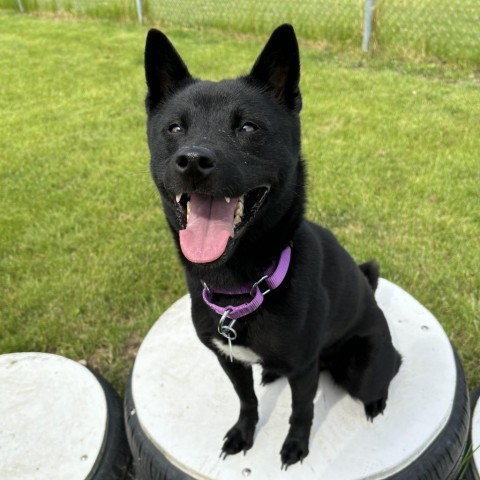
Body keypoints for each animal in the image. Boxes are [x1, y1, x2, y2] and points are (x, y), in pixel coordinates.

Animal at [145, 23, 402, 468]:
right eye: (175, 129)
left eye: (248, 128)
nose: (193, 161)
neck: (240, 287)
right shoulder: (229, 361)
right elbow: (246, 400)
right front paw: (243, 434)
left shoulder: (303, 369)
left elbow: (302, 410)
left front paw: (296, 447)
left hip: (364, 367)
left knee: (387, 372)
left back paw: (376, 401)